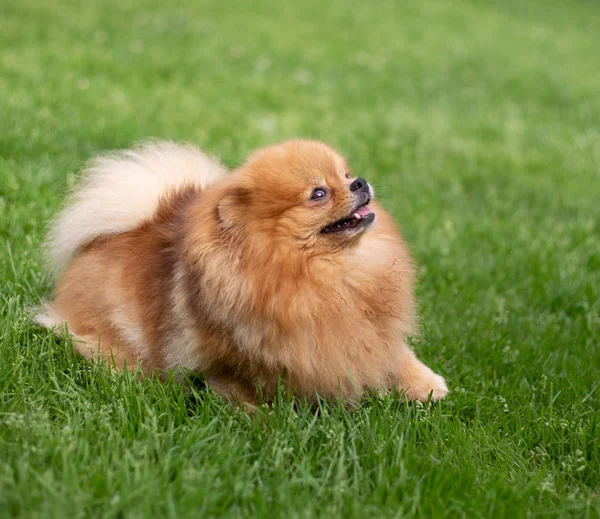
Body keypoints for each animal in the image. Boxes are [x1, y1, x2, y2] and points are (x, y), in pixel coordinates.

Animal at [35, 141, 448, 406]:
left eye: (345, 175)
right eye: (318, 193)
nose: (359, 182)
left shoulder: (372, 327)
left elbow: (395, 353)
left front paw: (427, 386)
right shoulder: (235, 356)